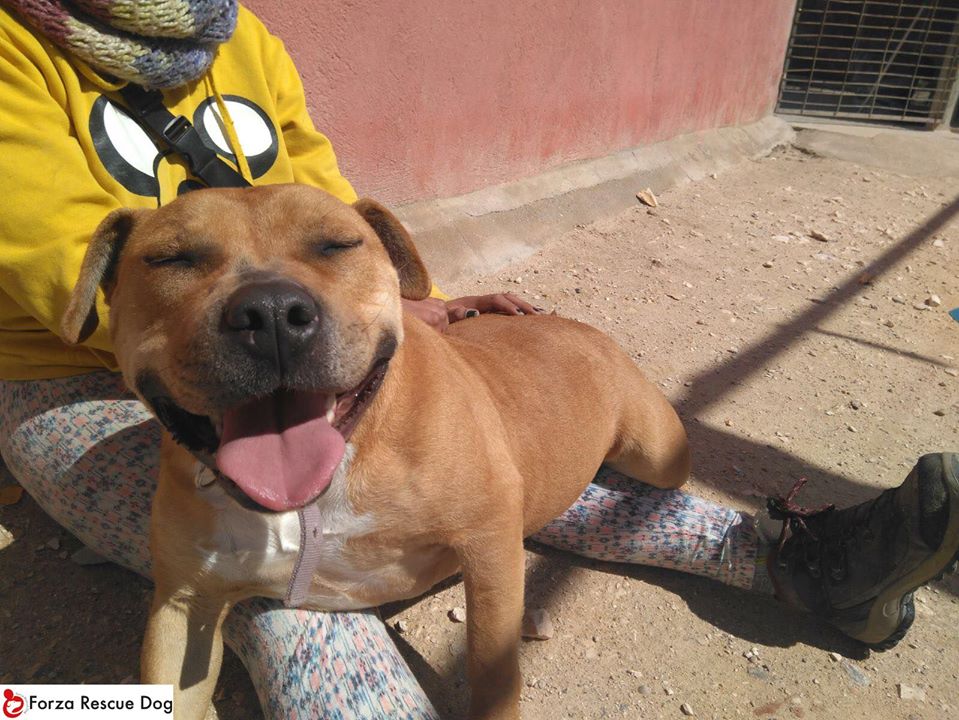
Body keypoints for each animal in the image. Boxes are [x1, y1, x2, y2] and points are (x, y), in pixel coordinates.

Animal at [61, 184, 690, 719]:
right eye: (172, 259)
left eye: (337, 244)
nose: (270, 311)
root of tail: (577, 325)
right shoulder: (182, 606)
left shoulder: (488, 544)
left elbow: (492, 676)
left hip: (660, 457)